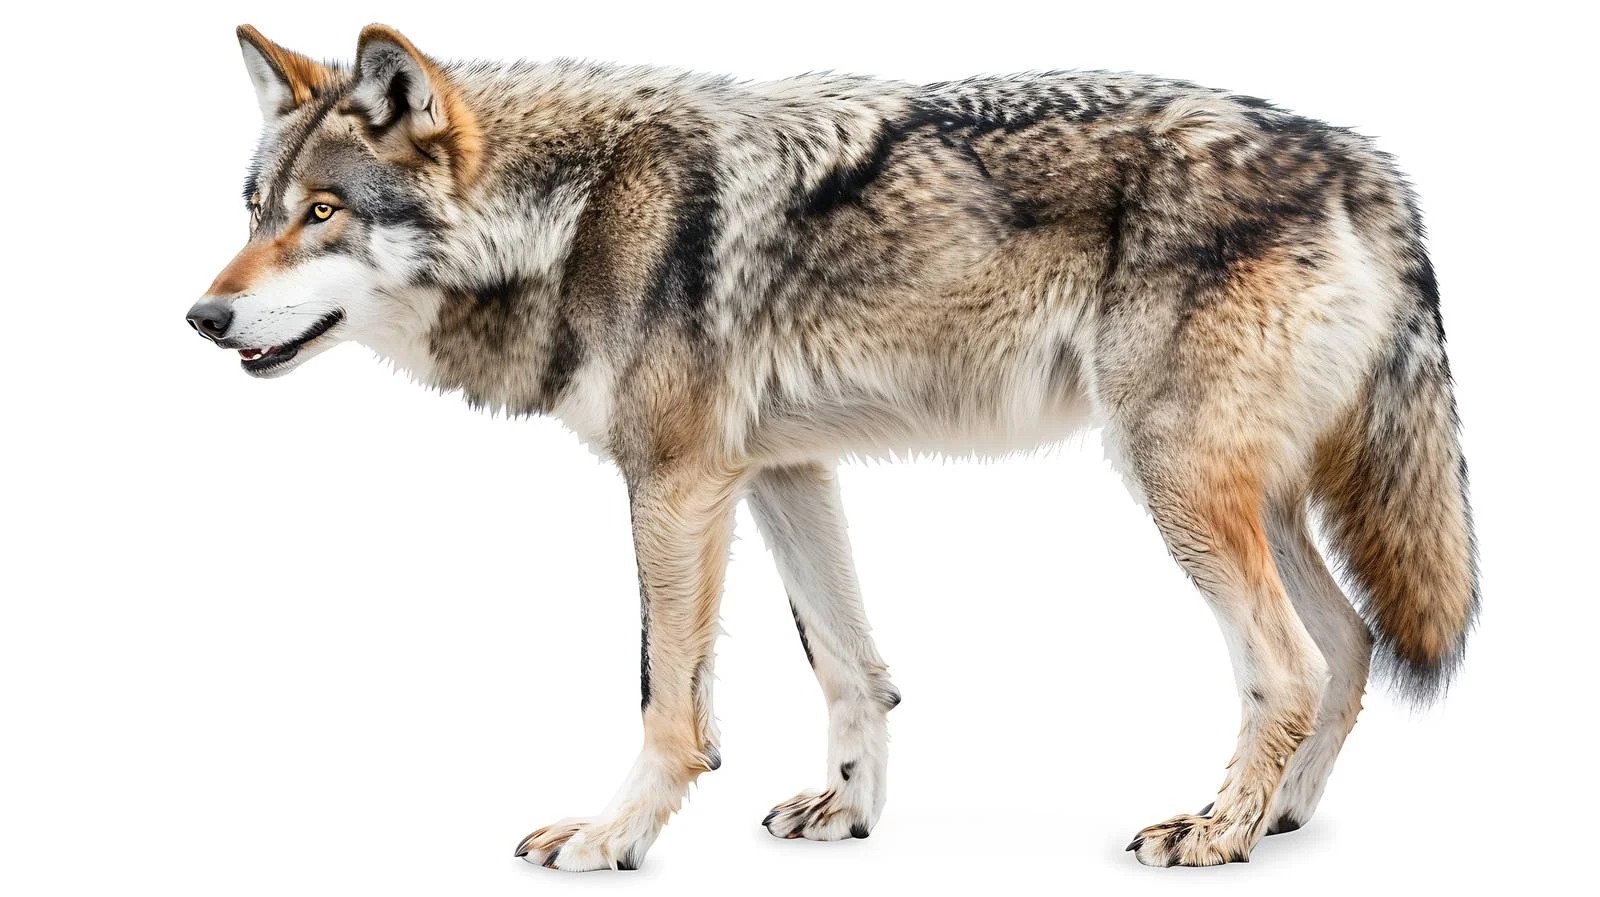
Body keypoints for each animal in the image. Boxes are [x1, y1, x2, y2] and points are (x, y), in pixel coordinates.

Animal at [186, 24, 1478, 871]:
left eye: (323, 215)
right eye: (253, 211)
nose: (201, 317)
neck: (576, 212)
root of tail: (1364, 162)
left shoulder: (673, 484)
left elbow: (667, 702)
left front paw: (613, 836)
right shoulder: (779, 471)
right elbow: (852, 671)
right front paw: (848, 817)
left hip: (1175, 485)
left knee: (1291, 666)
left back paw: (1216, 831)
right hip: (1249, 497)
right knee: (1351, 645)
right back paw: (1281, 819)